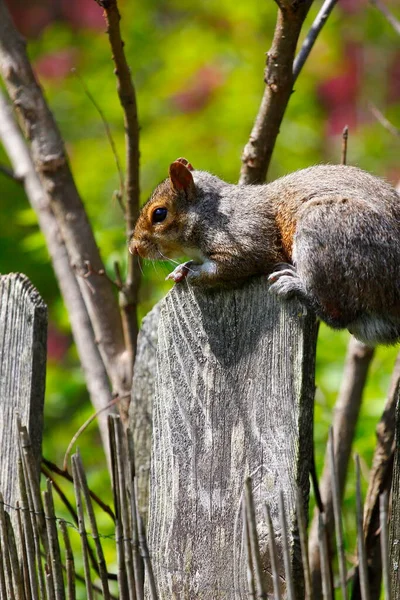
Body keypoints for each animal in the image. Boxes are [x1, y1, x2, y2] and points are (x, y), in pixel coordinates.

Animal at [129, 158, 400, 346]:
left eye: (159, 214)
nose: (134, 248)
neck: (210, 213)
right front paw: (181, 268)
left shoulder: (247, 239)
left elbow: (230, 266)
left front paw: (193, 272)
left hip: (326, 230)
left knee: (338, 314)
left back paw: (295, 285)